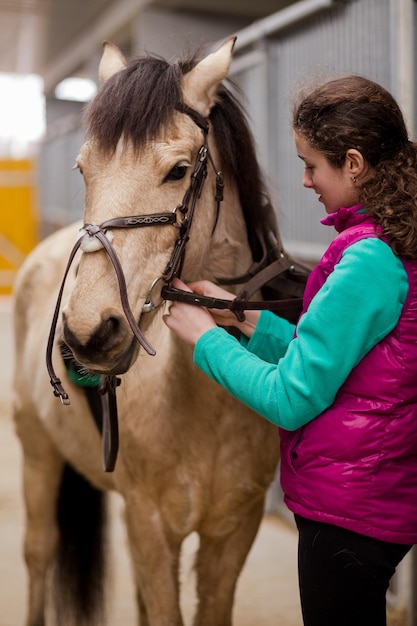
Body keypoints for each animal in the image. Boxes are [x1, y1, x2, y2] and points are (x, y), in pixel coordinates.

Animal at [13, 39, 286, 624]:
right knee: (39, 553)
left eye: (179, 170)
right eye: (83, 170)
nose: (89, 333)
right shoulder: (151, 528)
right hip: (36, 453)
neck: (207, 401)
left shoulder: (233, 534)